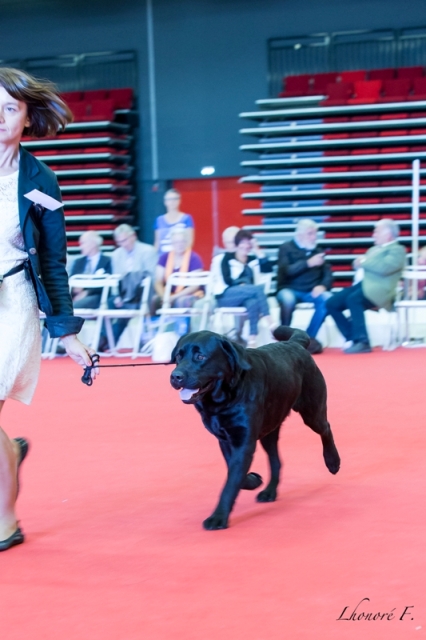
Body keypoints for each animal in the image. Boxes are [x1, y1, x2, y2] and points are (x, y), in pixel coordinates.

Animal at [170, 324, 340, 528]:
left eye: (200, 356)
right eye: (178, 357)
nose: (175, 376)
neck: (224, 400)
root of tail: (293, 343)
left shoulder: (244, 442)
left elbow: (230, 482)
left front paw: (218, 517)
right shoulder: (226, 440)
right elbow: (235, 473)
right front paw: (253, 480)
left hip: (312, 411)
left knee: (326, 428)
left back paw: (333, 461)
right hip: (270, 429)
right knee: (276, 461)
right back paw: (269, 492)